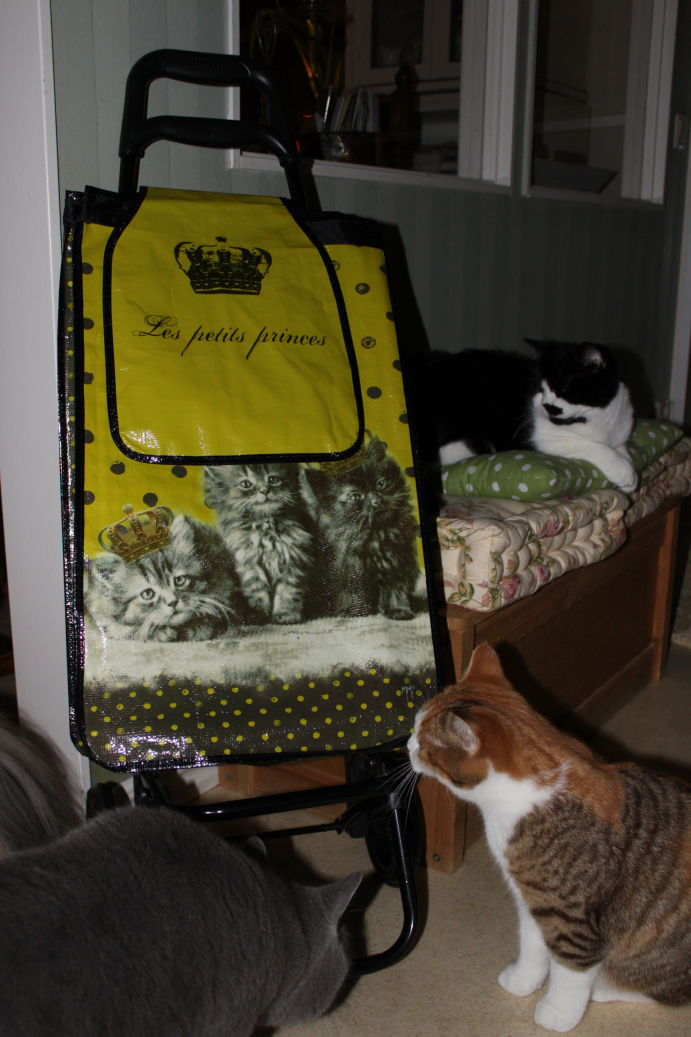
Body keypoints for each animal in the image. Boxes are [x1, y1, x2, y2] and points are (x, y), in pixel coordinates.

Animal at [85, 513, 243, 642]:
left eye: (179, 580)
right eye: (148, 594)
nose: (173, 602)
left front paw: (200, 626)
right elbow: (128, 630)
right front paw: (158, 634)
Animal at [203, 462, 316, 624]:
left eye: (273, 480)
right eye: (246, 484)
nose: (265, 490)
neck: (265, 523)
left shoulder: (294, 557)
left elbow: (288, 591)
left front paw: (286, 614)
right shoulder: (249, 562)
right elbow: (256, 591)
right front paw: (257, 615)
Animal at [306, 437, 420, 620]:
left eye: (380, 484)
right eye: (355, 497)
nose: (376, 501)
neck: (374, 535)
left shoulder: (397, 564)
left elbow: (396, 591)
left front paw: (398, 609)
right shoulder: (348, 571)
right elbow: (352, 593)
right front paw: (355, 610)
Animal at [408, 643, 691, 1032]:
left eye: (423, 743)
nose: (406, 745)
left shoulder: (570, 917)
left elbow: (570, 972)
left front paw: (559, 1012)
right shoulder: (533, 898)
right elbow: (533, 946)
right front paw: (523, 980)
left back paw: (606, 988)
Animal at [424, 340, 637, 492]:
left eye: (563, 389)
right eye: (540, 388)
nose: (546, 406)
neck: (595, 420)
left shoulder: (620, 431)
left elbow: (622, 449)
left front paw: (631, 475)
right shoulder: (537, 440)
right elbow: (592, 446)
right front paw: (623, 470)